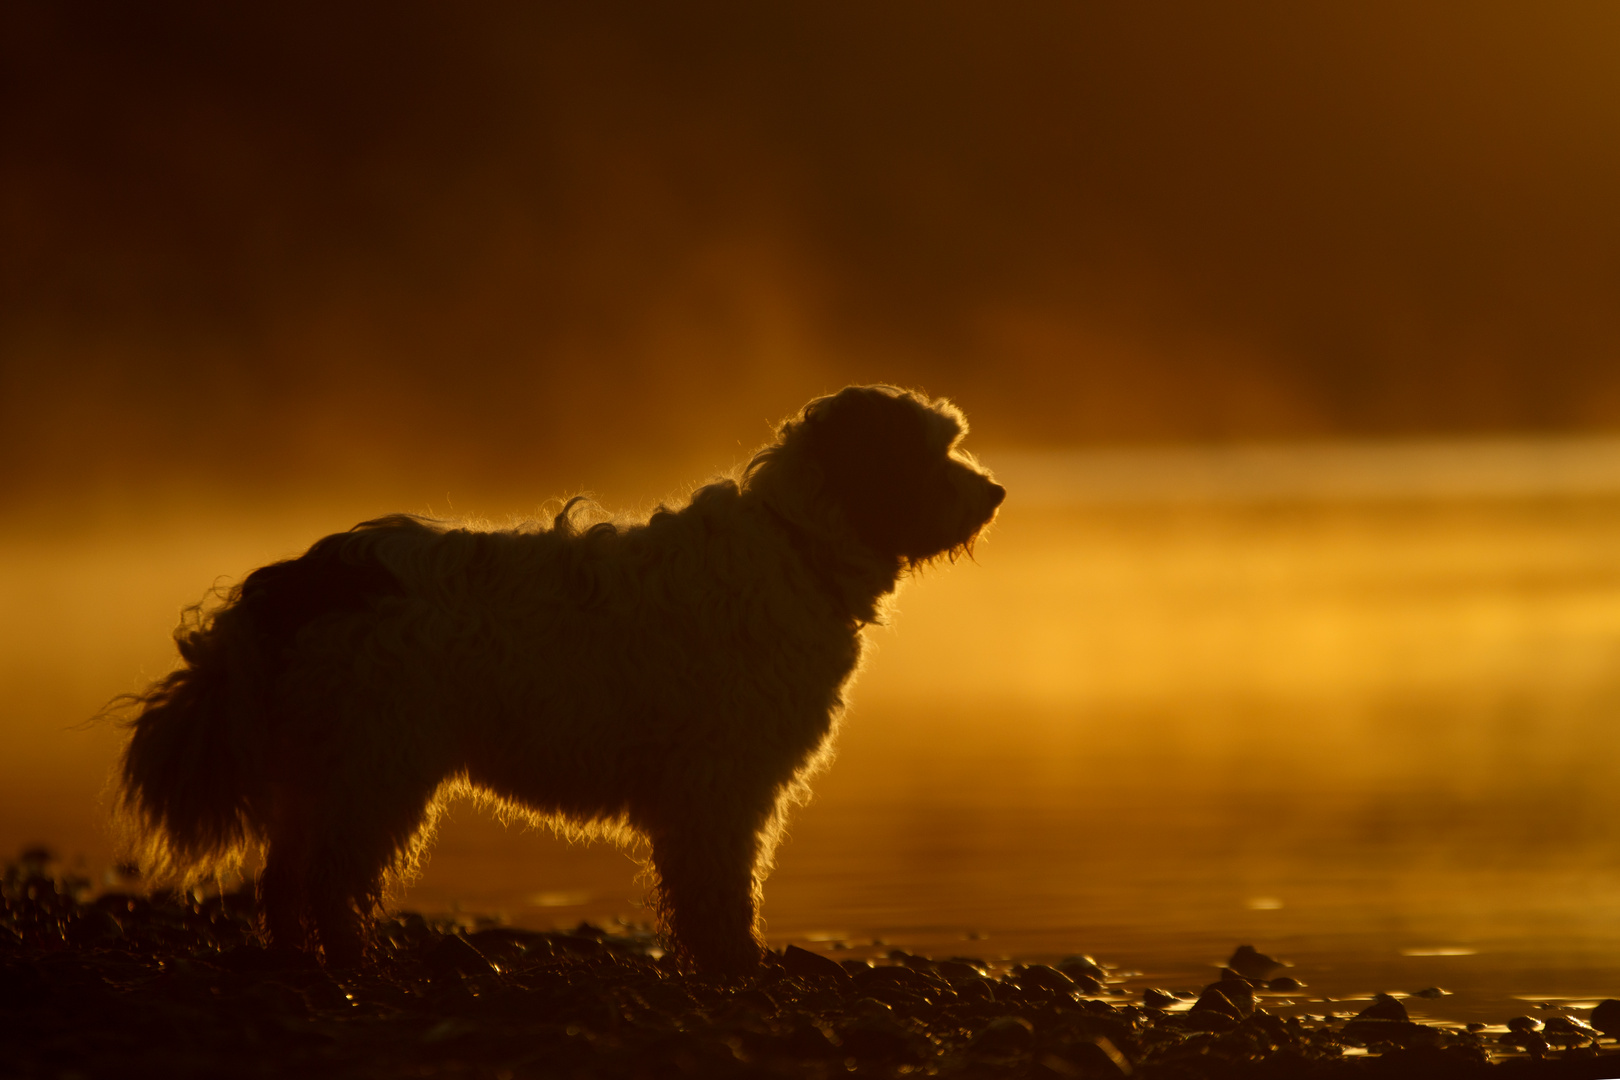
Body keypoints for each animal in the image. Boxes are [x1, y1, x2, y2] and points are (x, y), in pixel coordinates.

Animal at [117, 383, 997, 977]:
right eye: (933, 450)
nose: (996, 491)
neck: (800, 543)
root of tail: (301, 579)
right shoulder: (718, 788)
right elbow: (718, 891)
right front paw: (734, 966)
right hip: (378, 767)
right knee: (330, 877)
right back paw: (354, 962)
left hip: (323, 768)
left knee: (285, 877)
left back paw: (303, 957)